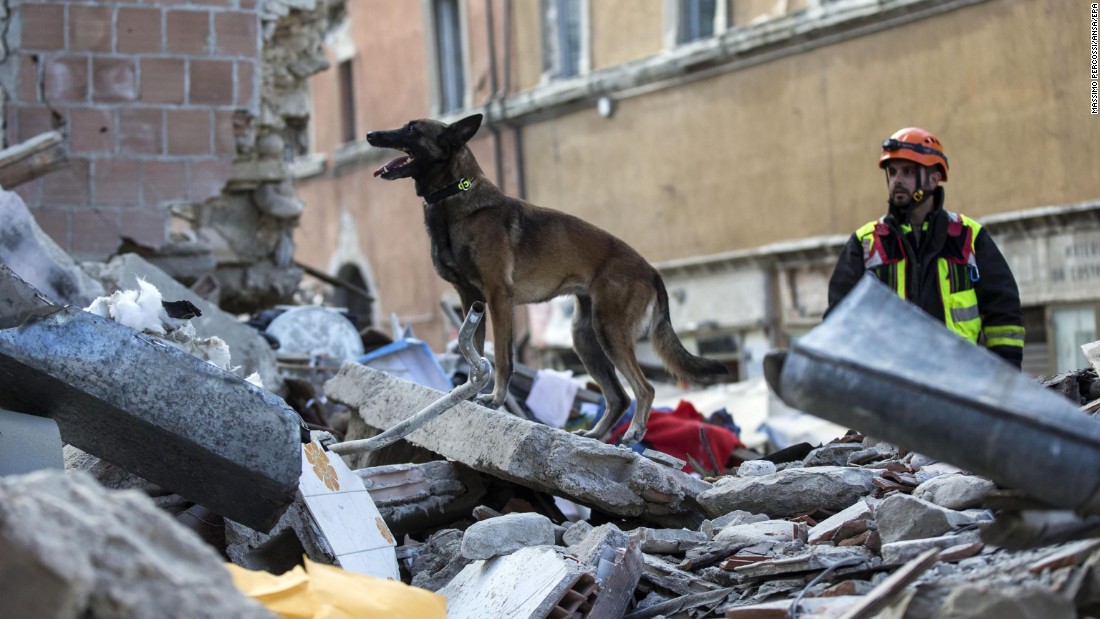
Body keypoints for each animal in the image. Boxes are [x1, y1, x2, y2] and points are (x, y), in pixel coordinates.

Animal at [369, 114, 730, 446]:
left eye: (412, 128)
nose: (371, 134)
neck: (454, 196)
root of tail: (651, 270)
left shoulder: (498, 298)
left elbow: (503, 358)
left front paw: (495, 399)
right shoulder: (470, 299)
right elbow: (475, 352)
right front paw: (469, 392)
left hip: (609, 332)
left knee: (644, 388)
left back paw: (635, 432)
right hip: (585, 338)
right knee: (618, 396)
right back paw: (595, 435)